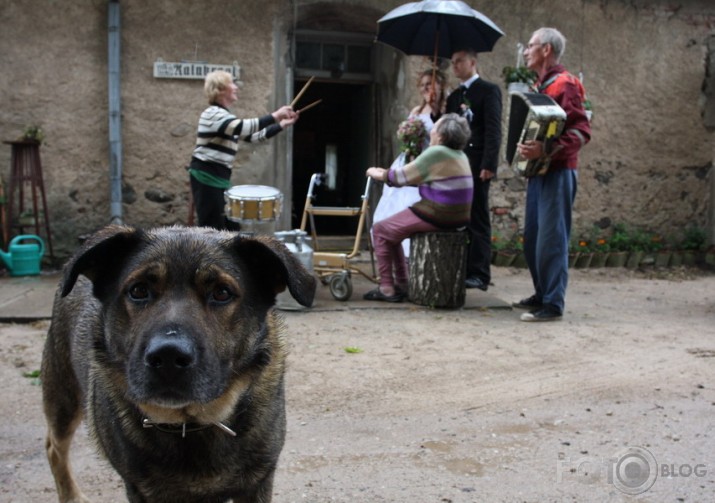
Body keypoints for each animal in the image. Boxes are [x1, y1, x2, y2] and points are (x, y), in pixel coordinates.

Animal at [40, 226, 314, 502]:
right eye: (138, 291)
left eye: (222, 293)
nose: (168, 357)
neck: (190, 422)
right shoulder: (140, 489)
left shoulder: (258, 483)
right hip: (63, 400)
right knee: (53, 448)